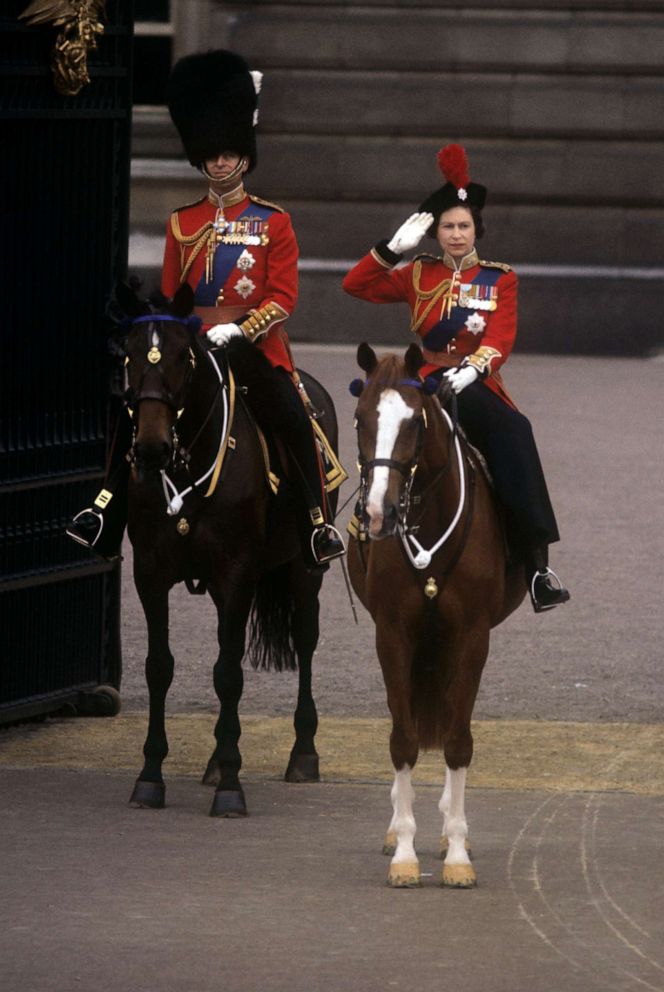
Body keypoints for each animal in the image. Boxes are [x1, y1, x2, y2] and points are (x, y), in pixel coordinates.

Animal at [118, 282, 342, 816]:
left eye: (183, 356)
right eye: (128, 355)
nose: (151, 448)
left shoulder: (236, 572)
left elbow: (227, 675)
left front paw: (231, 788)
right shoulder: (150, 573)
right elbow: (159, 668)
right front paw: (150, 776)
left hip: (305, 568)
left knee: (305, 640)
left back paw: (302, 754)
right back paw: (218, 760)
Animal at [348, 344, 528, 888]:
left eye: (413, 422)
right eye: (360, 418)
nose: (378, 513)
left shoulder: (471, 635)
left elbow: (457, 741)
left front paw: (457, 855)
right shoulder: (392, 634)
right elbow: (403, 740)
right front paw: (406, 852)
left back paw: (452, 830)